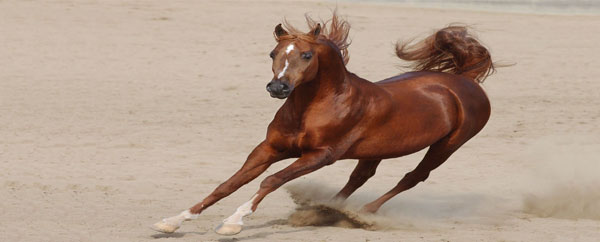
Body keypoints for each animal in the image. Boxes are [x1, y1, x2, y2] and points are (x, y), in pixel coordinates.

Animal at [152, 12, 494, 235]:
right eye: (273, 52)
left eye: (306, 55)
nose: (278, 88)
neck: (314, 107)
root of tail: (464, 80)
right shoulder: (269, 148)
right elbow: (228, 184)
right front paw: (173, 221)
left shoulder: (320, 156)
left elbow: (271, 181)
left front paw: (233, 223)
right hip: (379, 149)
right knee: (360, 177)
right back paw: (328, 209)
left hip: (447, 146)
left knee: (413, 177)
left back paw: (362, 214)